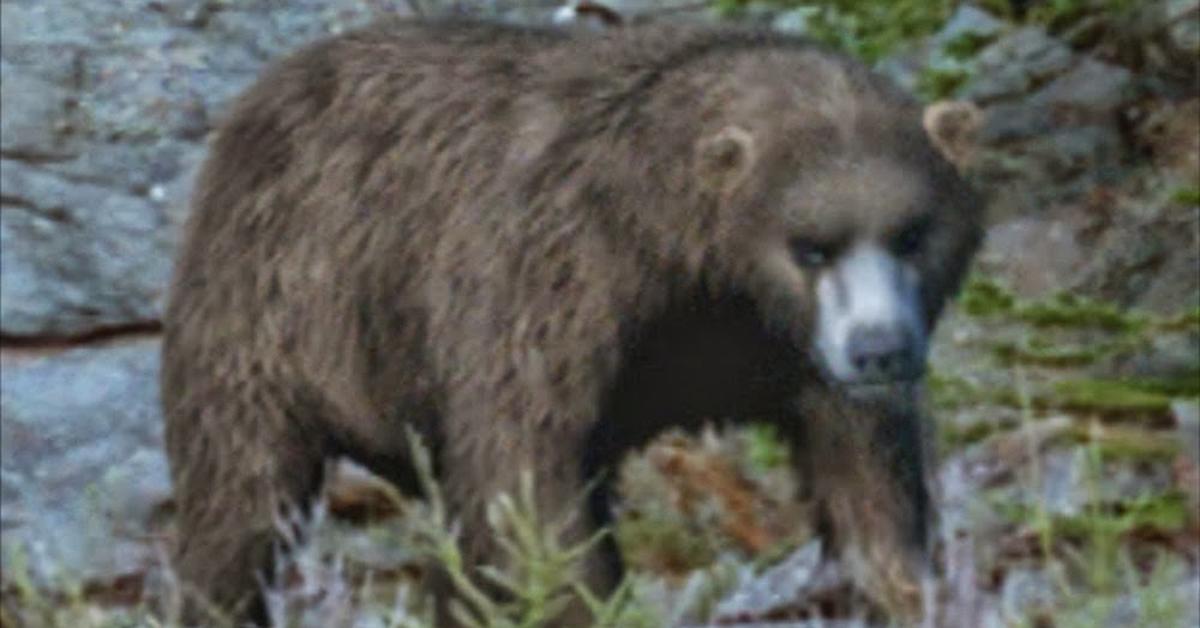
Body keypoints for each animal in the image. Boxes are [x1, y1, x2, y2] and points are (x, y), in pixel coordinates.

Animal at [162, 17, 984, 624]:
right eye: (810, 247)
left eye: (913, 232)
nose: (879, 349)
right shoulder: (548, 289)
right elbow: (527, 483)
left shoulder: (787, 359)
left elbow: (869, 481)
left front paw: (905, 586)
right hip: (277, 310)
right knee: (240, 495)